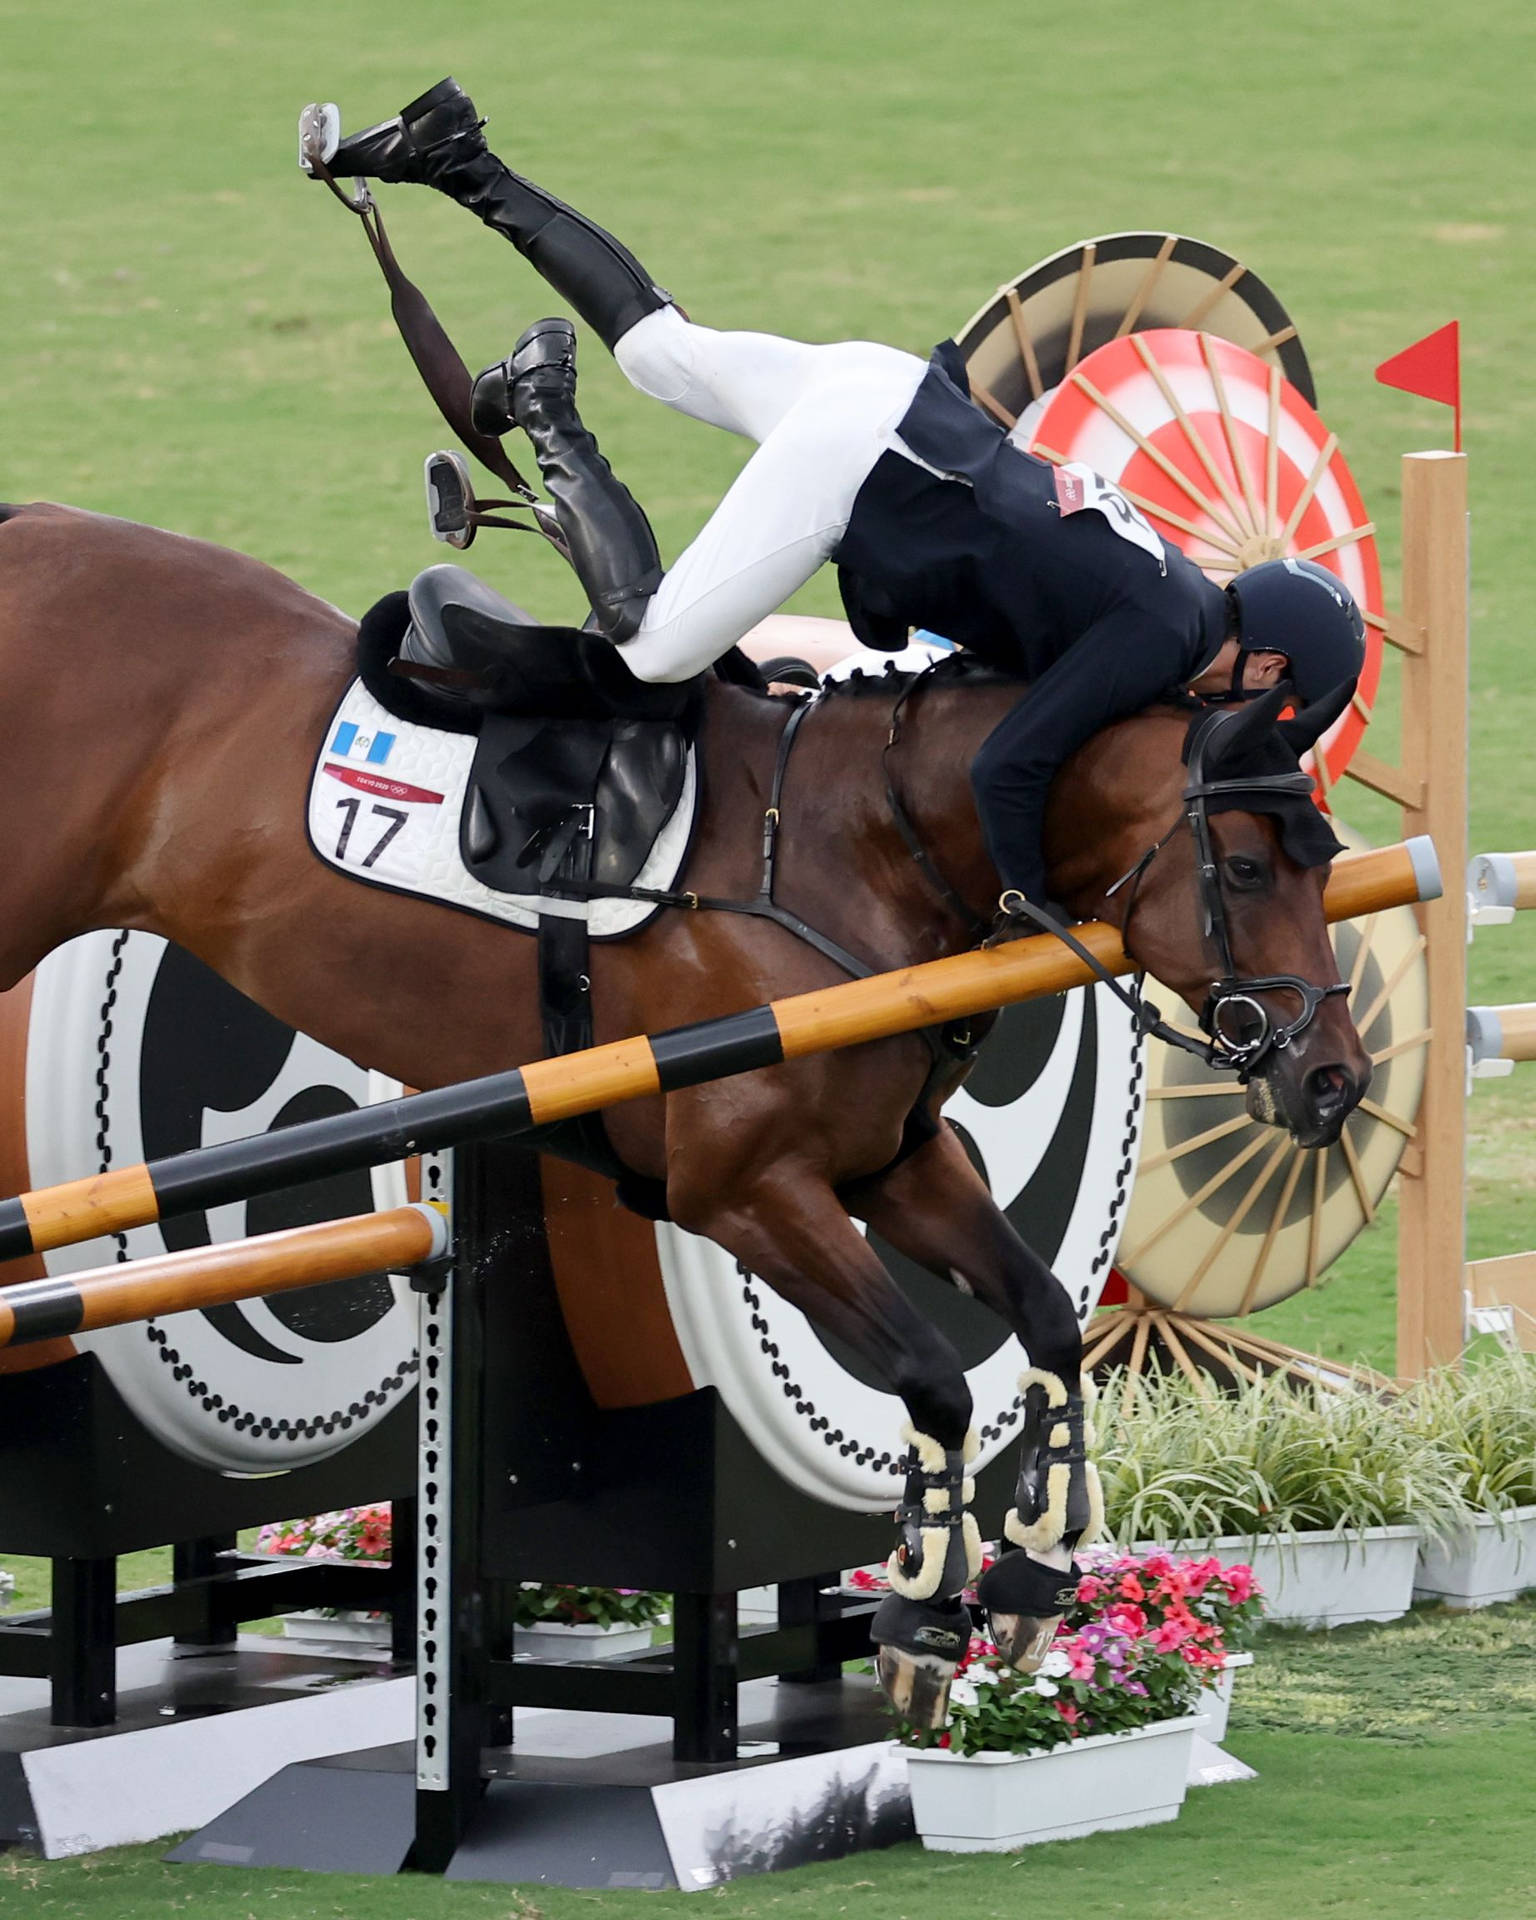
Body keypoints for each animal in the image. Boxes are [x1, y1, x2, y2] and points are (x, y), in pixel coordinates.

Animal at [0, 499, 1374, 1728]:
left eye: (1321, 860)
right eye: (1246, 866)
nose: (1334, 1080)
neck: (861, 843)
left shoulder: (892, 1165)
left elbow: (1039, 1316)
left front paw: (1034, 1567)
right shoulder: (747, 1192)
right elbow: (933, 1378)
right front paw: (923, 1613)